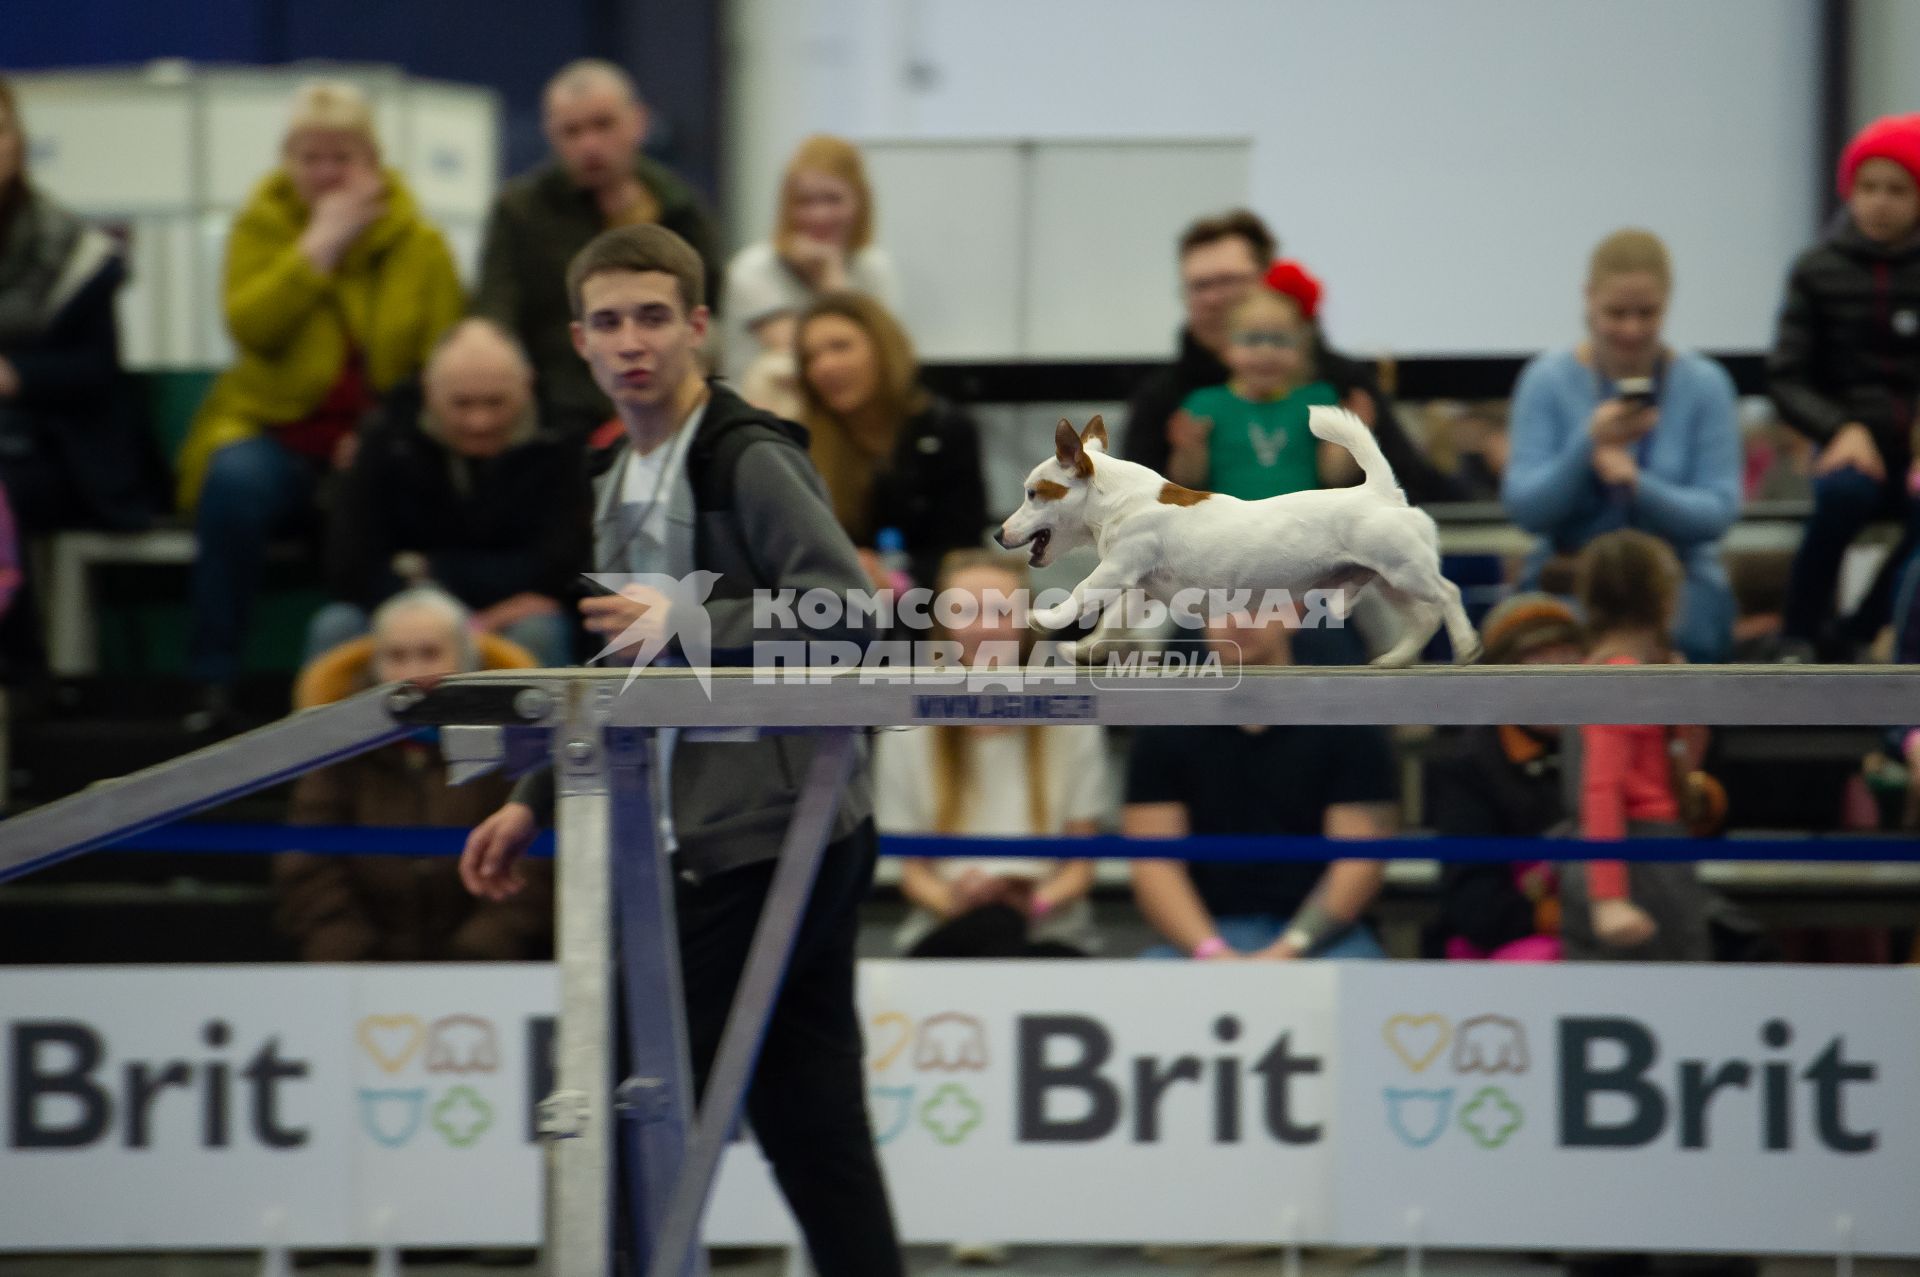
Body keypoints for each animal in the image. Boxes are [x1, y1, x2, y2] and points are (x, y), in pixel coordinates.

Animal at [998, 409, 1474, 668]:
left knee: (1447, 594)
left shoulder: (1118, 567)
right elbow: (1115, 619)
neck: (1121, 498)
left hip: (1404, 570)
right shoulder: (1139, 585)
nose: (998, 533)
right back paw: (1397, 657)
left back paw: (1467, 644)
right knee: (1423, 617)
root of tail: (1380, 491)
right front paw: (1089, 647)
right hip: (1388, 579)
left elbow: (1083, 592)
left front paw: (1049, 618)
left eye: (1033, 494)